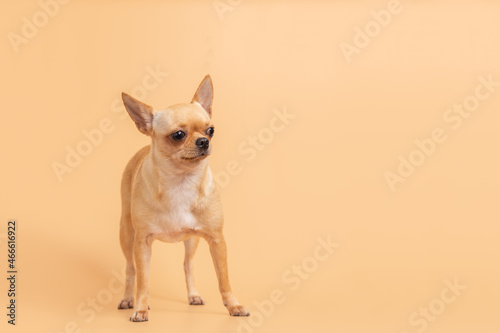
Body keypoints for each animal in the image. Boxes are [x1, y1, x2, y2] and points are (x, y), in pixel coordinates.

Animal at [117, 76, 250, 322]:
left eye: (211, 130)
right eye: (178, 135)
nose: (204, 141)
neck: (181, 182)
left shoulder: (217, 241)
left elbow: (224, 279)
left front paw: (233, 306)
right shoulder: (142, 242)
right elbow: (143, 281)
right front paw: (140, 308)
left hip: (192, 240)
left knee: (188, 264)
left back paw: (193, 295)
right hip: (126, 234)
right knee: (132, 270)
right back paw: (128, 299)